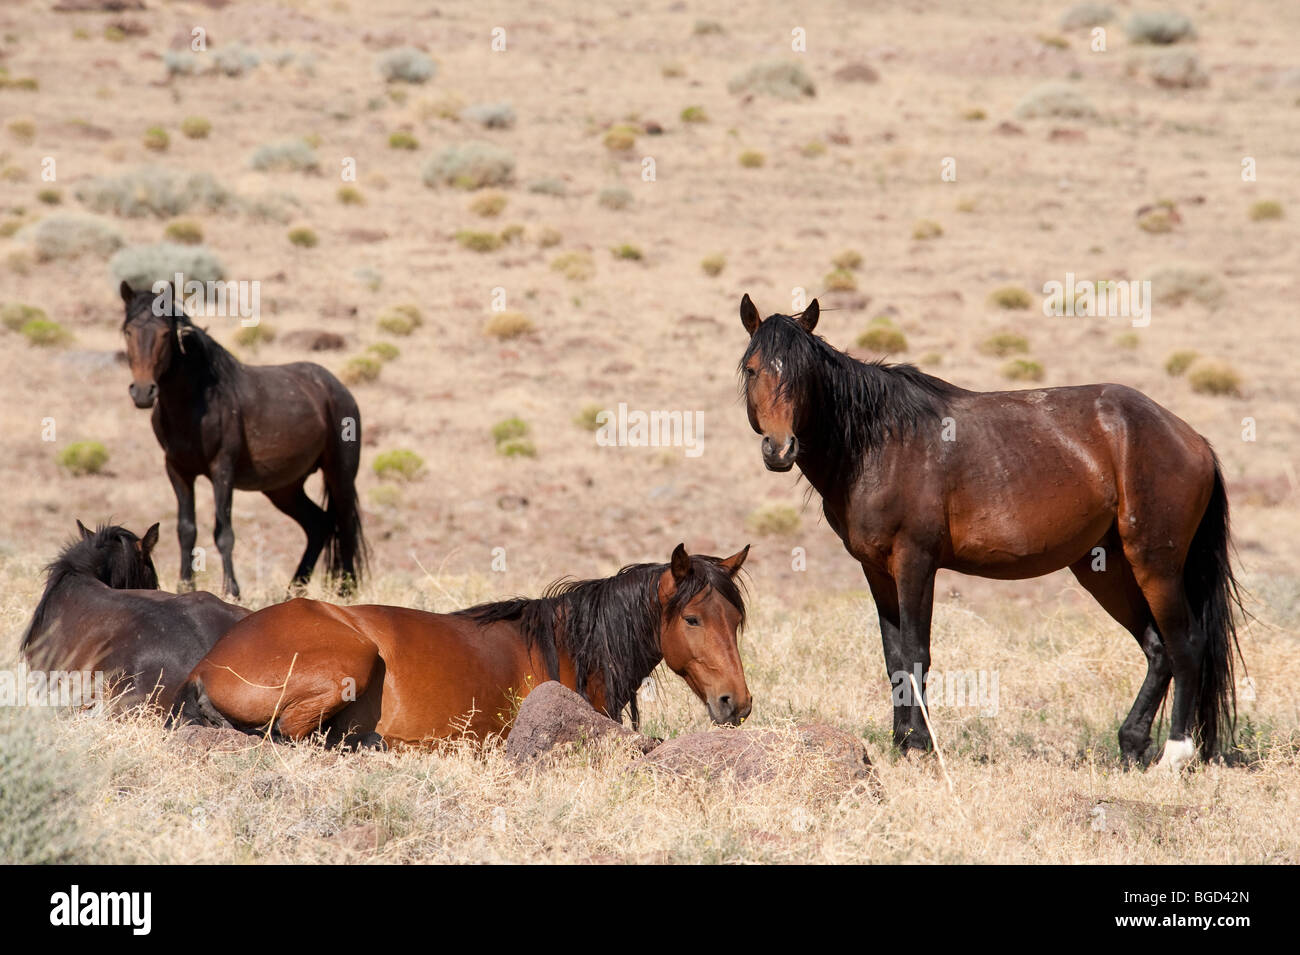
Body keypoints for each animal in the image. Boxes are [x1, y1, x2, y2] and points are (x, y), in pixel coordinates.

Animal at [120, 276, 369, 600]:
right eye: (127, 331)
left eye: (164, 333)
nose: (142, 392)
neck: (196, 401)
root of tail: (338, 388)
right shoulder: (178, 470)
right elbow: (186, 530)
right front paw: (185, 586)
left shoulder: (222, 469)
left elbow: (223, 532)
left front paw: (232, 591)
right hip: (284, 488)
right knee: (319, 525)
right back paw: (293, 590)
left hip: (339, 474)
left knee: (345, 525)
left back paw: (345, 591)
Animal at [170, 545, 754, 748]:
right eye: (693, 619)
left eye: (736, 622)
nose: (737, 702)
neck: (567, 647)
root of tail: (206, 665)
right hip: (351, 661)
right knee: (294, 735)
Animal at [738, 294, 1242, 774]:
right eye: (752, 368)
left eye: (803, 377)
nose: (779, 449)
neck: (879, 443)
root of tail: (1190, 438)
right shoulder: (876, 570)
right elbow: (894, 658)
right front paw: (902, 742)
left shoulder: (915, 562)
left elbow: (917, 652)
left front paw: (919, 745)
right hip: (1105, 569)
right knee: (1158, 650)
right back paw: (1132, 745)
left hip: (1155, 563)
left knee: (1185, 645)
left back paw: (1174, 755)